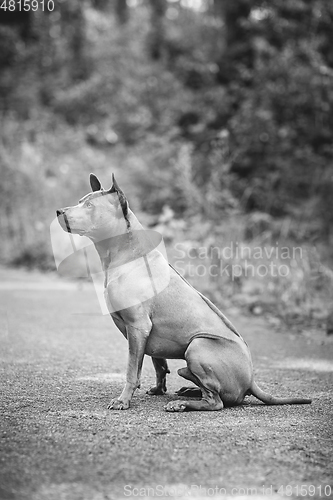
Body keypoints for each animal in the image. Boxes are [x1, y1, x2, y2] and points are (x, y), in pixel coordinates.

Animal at [57, 174, 312, 412]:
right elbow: (158, 365)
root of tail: (251, 381)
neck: (127, 254)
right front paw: (158, 389)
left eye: (90, 206)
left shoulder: (138, 326)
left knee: (216, 401)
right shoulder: (148, 334)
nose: (59, 211)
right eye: (80, 201)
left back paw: (182, 403)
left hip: (197, 346)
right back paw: (189, 391)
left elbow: (132, 371)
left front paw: (123, 400)